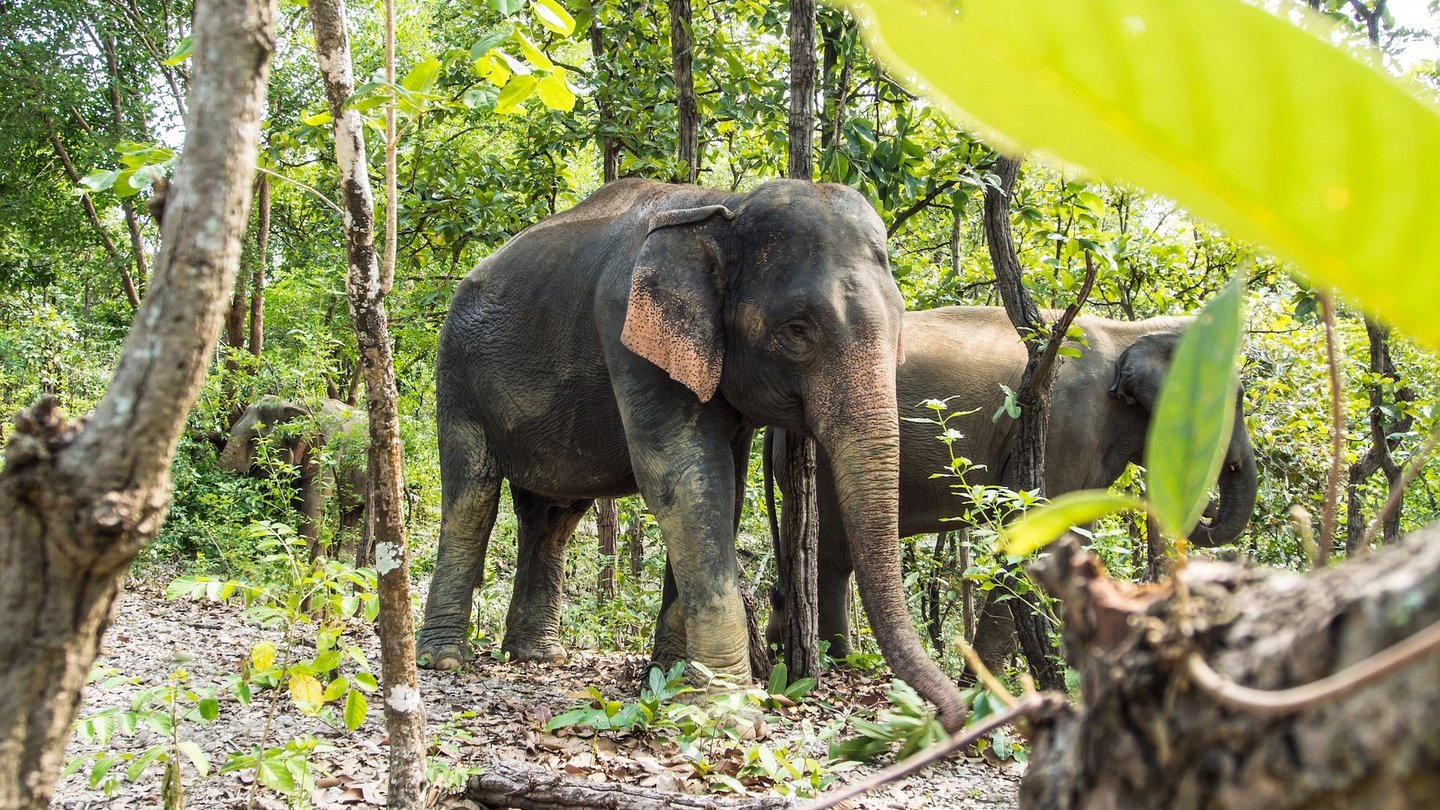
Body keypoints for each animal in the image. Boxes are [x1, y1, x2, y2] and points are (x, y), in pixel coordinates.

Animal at [218, 392, 368, 553]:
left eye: (254, 439)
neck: (294, 403)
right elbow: (298, 498)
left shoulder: (328, 449)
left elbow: (315, 496)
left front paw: (304, 551)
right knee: (352, 512)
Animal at [420, 177, 967, 732]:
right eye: (797, 330)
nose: (950, 717)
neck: (724, 207)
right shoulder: (628, 332)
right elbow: (688, 480)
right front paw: (728, 710)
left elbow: (726, 490)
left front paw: (669, 679)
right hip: (456, 372)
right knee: (472, 496)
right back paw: (442, 660)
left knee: (553, 517)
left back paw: (539, 656)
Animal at [766, 304, 1261, 657]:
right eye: (1235, 398)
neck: (1128, 329)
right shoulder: (1066, 424)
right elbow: (1041, 532)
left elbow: (1073, 540)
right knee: (833, 557)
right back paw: (839, 661)